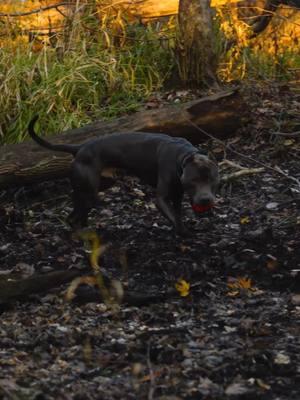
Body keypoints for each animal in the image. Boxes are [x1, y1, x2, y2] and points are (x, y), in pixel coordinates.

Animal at [28, 115, 218, 234]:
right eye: (194, 180)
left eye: (212, 179)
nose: (206, 200)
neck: (183, 156)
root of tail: (79, 147)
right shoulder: (161, 198)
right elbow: (173, 216)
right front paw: (183, 233)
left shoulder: (177, 194)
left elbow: (177, 213)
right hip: (89, 191)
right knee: (74, 219)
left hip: (96, 186)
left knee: (74, 212)